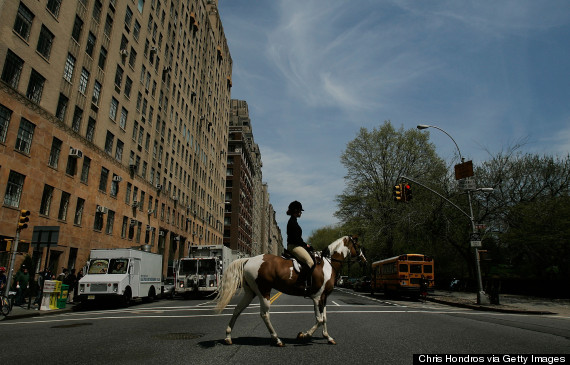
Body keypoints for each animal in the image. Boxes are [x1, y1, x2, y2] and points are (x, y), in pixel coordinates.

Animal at [212, 235, 364, 346]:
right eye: (358, 246)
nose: (364, 260)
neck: (328, 264)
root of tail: (249, 259)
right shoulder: (317, 297)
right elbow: (319, 319)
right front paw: (303, 335)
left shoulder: (324, 297)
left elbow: (324, 318)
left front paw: (328, 337)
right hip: (263, 291)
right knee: (264, 314)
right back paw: (277, 339)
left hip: (251, 292)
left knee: (237, 309)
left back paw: (228, 337)